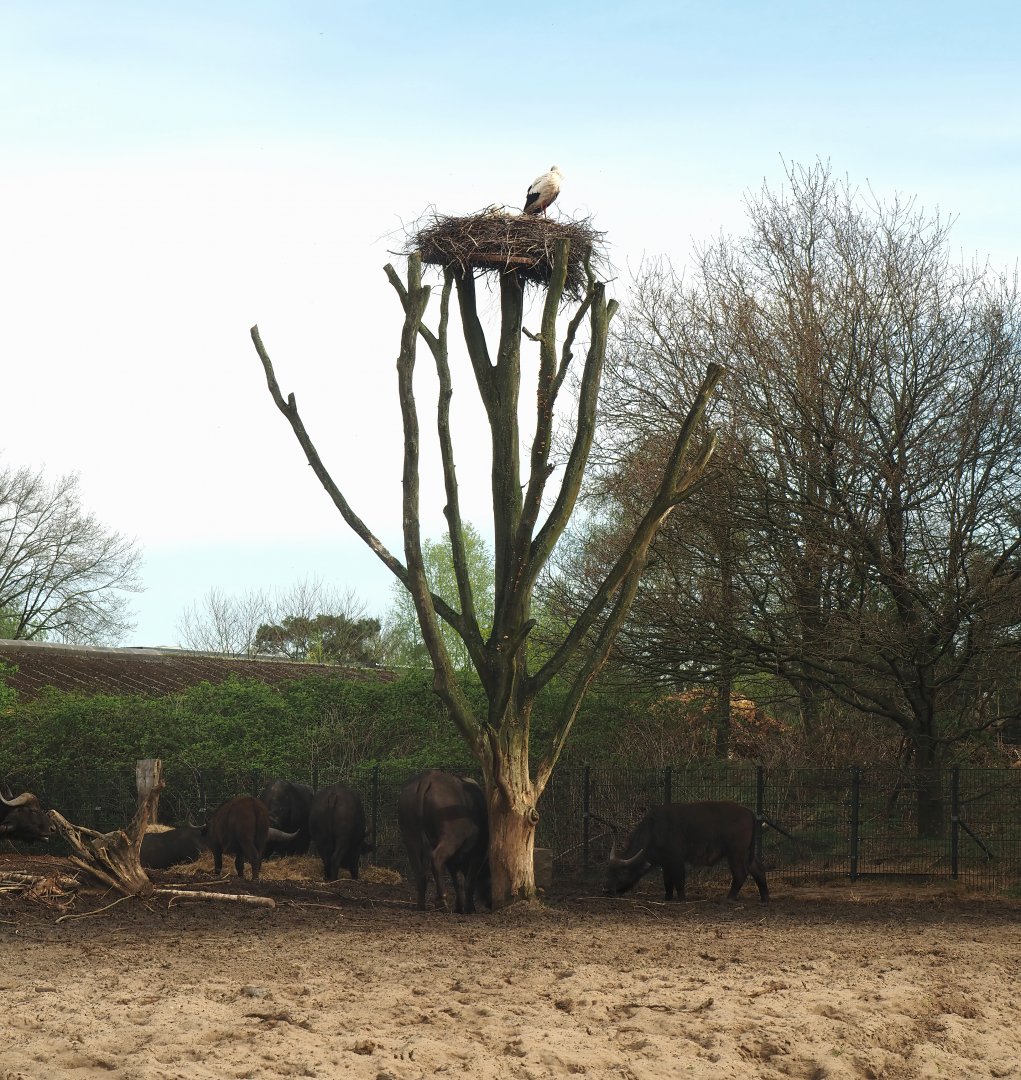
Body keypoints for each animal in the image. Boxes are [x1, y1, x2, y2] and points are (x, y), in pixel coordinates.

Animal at [398, 769, 490, 914]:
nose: (490, 903)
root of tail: (429, 777)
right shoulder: (478, 853)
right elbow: (469, 881)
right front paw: (469, 908)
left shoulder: (454, 861)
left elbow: (458, 882)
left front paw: (459, 907)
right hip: (451, 838)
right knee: (436, 858)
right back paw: (442, 901)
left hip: (410, 837)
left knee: (419, 871)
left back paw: (421, 905)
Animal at [605, 801, 769, 903]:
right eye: (608, 872)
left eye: (622, 873)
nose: (607, 890)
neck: (656, 829)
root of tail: (749, 812)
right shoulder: (665, 862)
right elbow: (667, 881)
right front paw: (667, 897)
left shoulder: (677, 860)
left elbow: (679, 880)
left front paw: (682, 898)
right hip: (746, 853)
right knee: (759, 869)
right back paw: (764, 898)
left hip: (735, 853)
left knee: (740, 873)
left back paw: (729, 898)